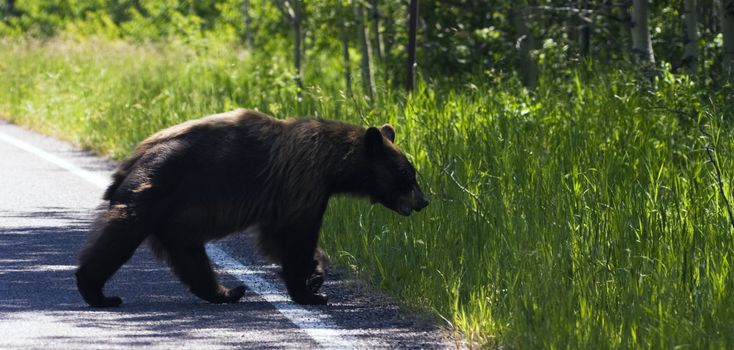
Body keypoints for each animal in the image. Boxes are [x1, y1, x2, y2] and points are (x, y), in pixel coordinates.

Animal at [73, 108, 432, 306]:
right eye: (407, 174)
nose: (423, 201)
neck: (334, 166)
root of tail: (132, 158)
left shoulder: (286, 195)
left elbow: (276, 236)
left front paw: (317, 274)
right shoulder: (302, 183)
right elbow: (295, 236)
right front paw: (310, 292)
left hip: (176, 215)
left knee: (189, 255)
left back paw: (226, 292)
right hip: (157, 185)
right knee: (122, 232)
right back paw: (97, 291)